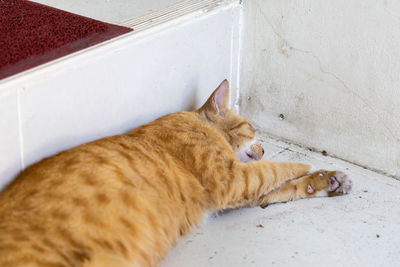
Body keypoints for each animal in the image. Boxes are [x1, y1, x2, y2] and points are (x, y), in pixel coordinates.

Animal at [0, 80, 350, 267]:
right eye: (252, 129)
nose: (264, 150)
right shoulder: (232, 180)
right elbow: (277, 170)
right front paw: (306, 165)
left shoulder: (241, 189)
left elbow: (284, 186)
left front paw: (326, 180)